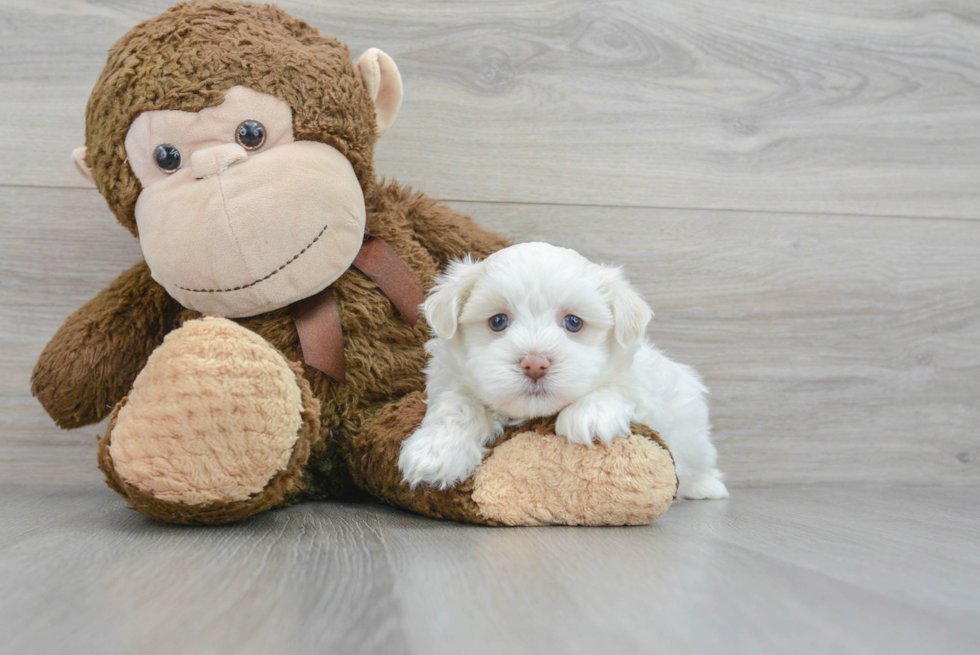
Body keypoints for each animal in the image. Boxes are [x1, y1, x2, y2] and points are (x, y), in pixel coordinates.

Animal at [398, 243, 728, 500]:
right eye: (497, 321)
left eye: (573, 322)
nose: (535, 363)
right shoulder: (451, 378)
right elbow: (459, 405)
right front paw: (436, 452)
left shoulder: (644, 388)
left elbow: (621, 387)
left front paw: (591, 415)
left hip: (695, 434)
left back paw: (707, 487)